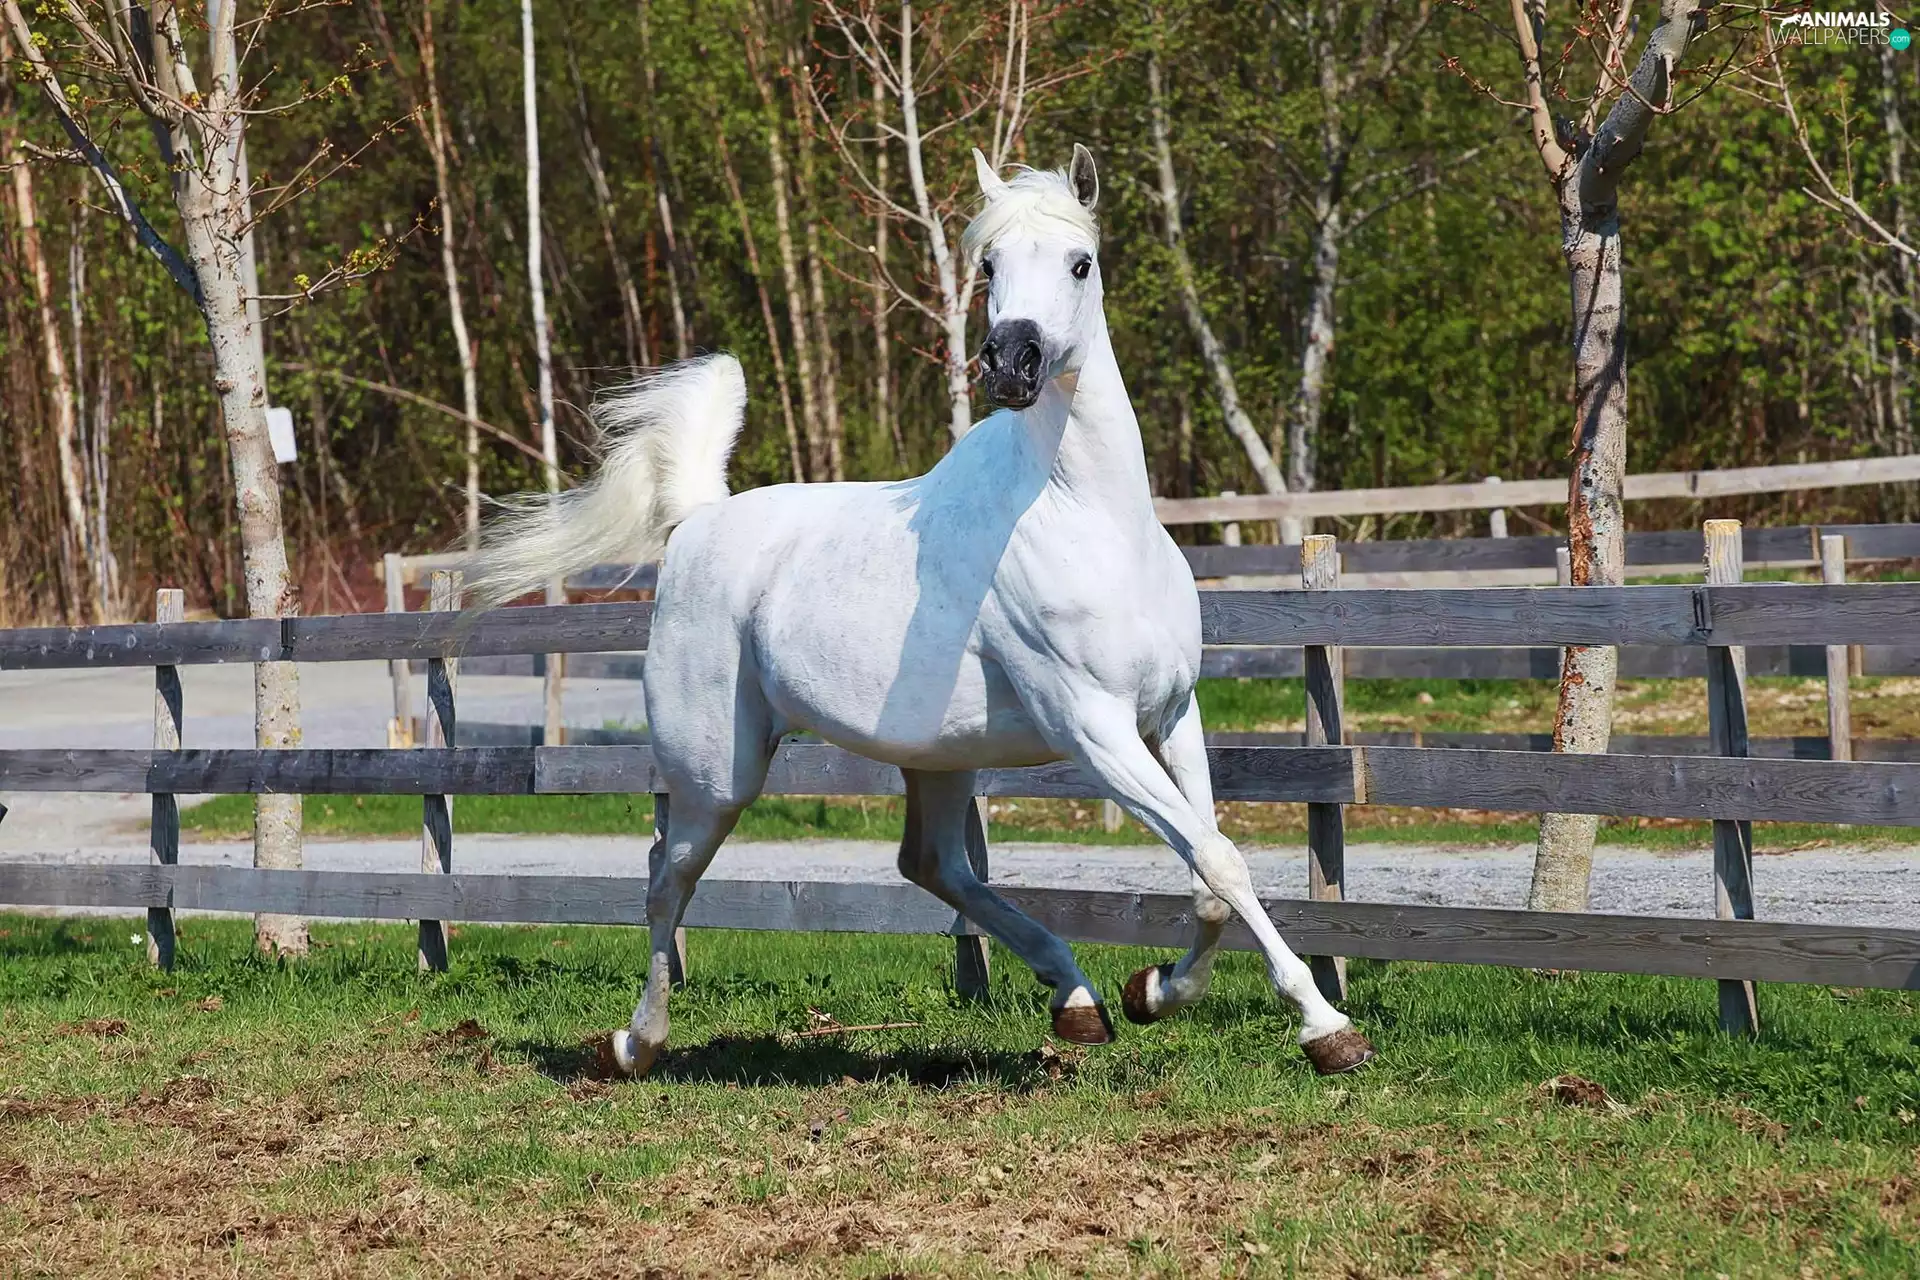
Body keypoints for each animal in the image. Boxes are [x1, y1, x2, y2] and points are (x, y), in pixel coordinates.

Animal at [468, 145, 1375, 1078]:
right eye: (990, 266)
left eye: (1080, 263)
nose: (1010, 363)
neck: (1090, 522)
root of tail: (697, 522)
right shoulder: (1096, 730)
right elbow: (1219, 861)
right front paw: (1326, 1028)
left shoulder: (1172, 718)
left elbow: (1208, 872)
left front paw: (1154, 992)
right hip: (717, 773)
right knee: (667, 879)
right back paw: (635, 1043)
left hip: (939, 759)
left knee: (932, 864)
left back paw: (1079, 1000)